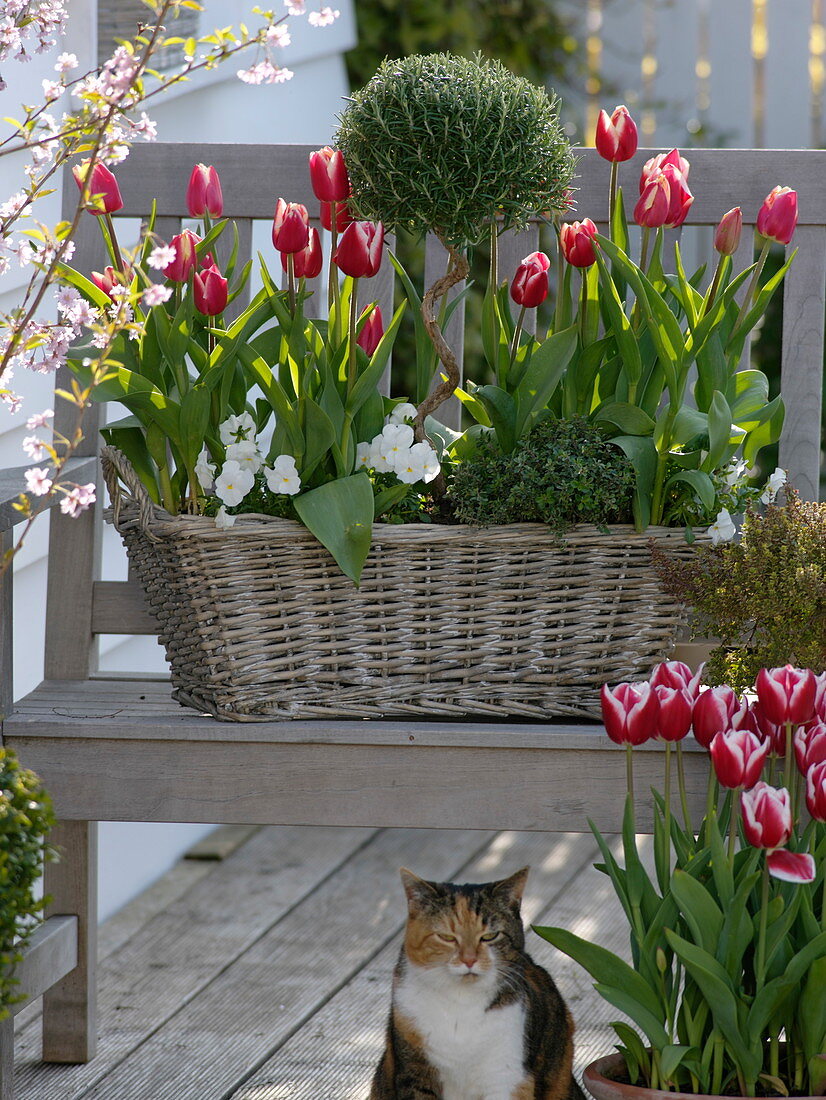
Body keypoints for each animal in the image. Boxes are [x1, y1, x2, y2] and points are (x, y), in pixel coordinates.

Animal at [371, 866, 585, 1100]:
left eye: (490, 936)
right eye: (446, 937)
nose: (469, 959)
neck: (461, 1001)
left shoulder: (506, 1074)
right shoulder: (415, 1069)